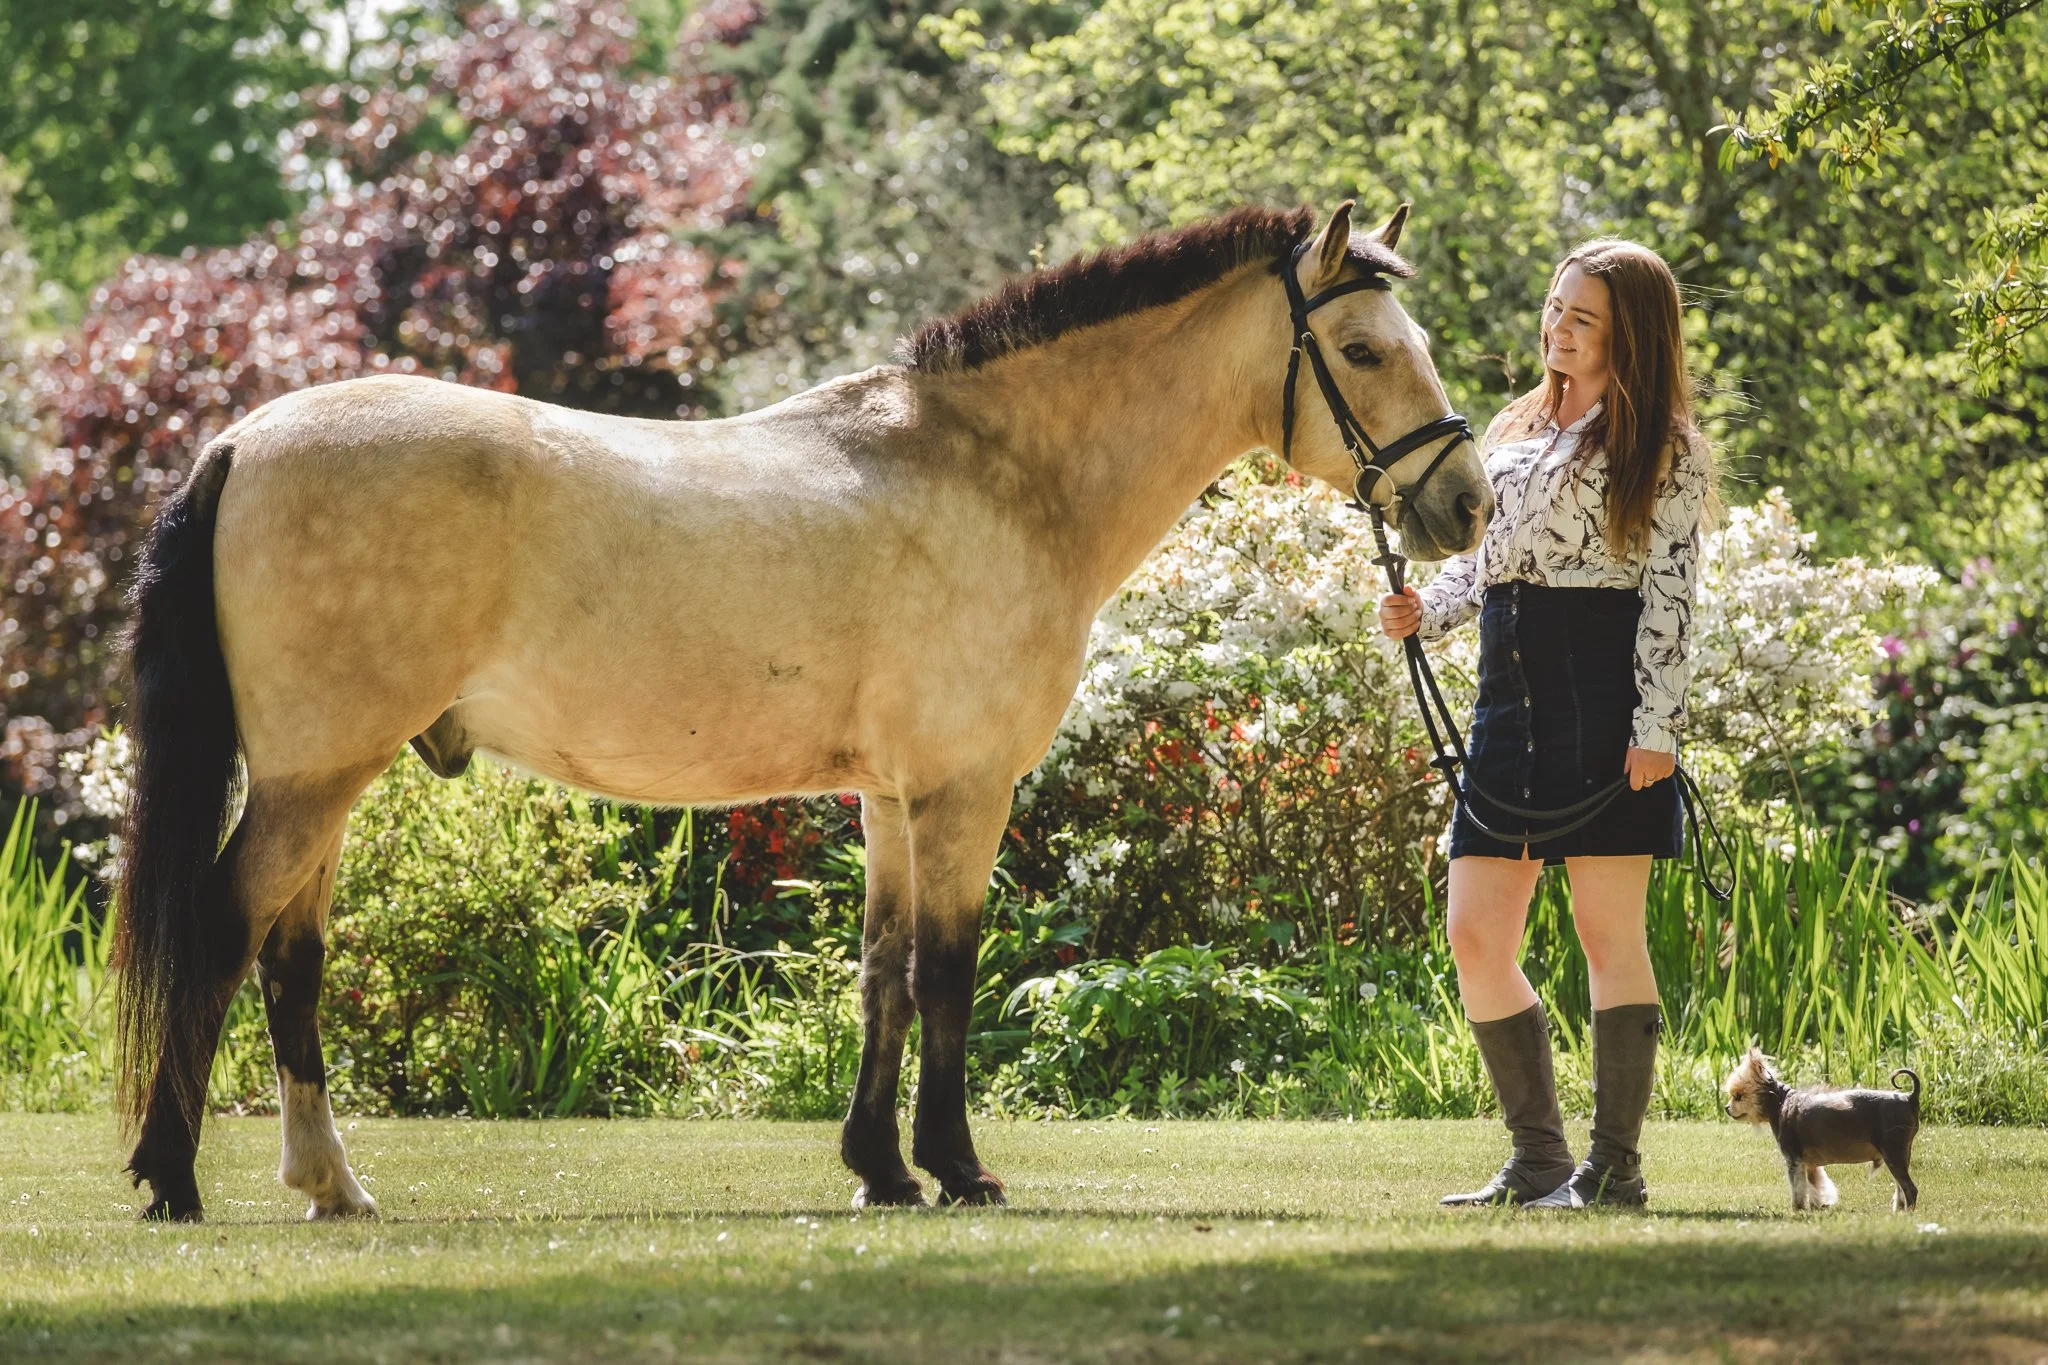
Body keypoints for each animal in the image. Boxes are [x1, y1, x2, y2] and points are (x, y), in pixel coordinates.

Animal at [113, 198, 1491, 1220]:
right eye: (1362, 350)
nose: (1466, 503)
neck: (997, 472)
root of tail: (242, 441)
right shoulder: (962, 790)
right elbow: (946, 972)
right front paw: (958, 1169)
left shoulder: (886, 795)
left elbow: (879, 971)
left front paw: (879, 1170)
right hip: (312, 778)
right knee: (226, 926)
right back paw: (174, 1178)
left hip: (326, 776)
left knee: (290, 959)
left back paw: (328, 1183)